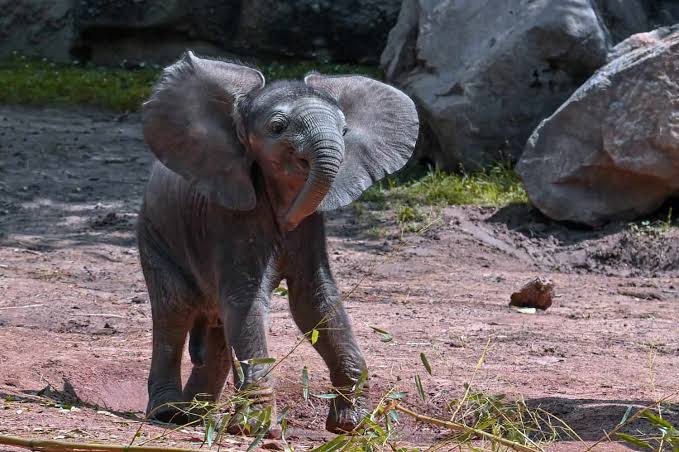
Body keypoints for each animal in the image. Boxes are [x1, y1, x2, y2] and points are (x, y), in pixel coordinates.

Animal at [136, 51, 419, 434]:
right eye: (277, 127)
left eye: (345, 131)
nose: (286, 221)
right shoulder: (230, 215)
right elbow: (247, 300)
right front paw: (253, 428)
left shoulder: (311, 226)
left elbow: (314, 300)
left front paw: (352, 425)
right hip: (154, 234)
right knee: (174, 309)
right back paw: (169, 414)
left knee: (217, 328)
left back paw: (196, 417)